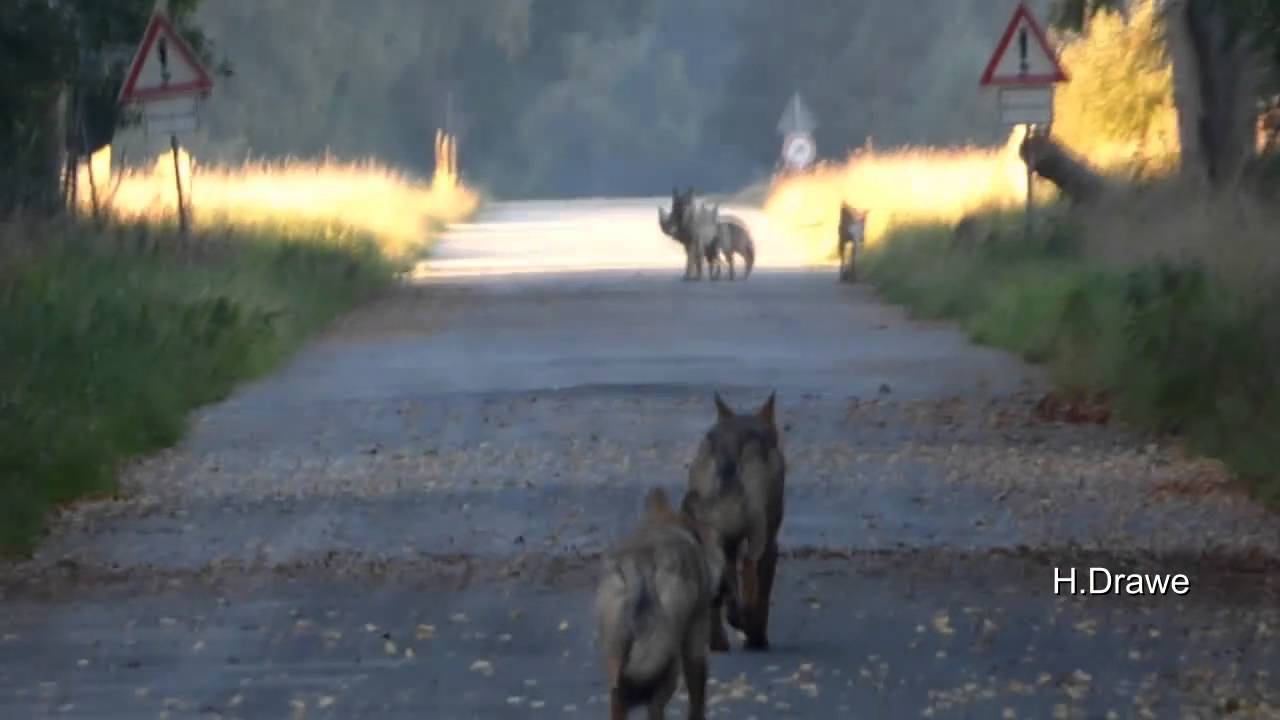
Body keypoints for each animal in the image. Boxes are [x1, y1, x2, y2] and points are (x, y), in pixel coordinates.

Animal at [596, 486, 727, 720]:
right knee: (655, 708)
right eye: (720, 544)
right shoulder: (696, 639)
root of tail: (640, 562)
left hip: (618, 661)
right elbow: (697, 700)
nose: (724, 590)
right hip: (669, 662)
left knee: (619, 701)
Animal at [681, 391, 786, 652]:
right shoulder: (770, 544)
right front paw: (757, 636)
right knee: (749, 567)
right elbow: (762, 595)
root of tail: (729, 449)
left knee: (717, 592)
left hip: (710, 537)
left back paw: (719, 639)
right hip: (758, 533)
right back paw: (744, 623)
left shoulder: (728, 545)